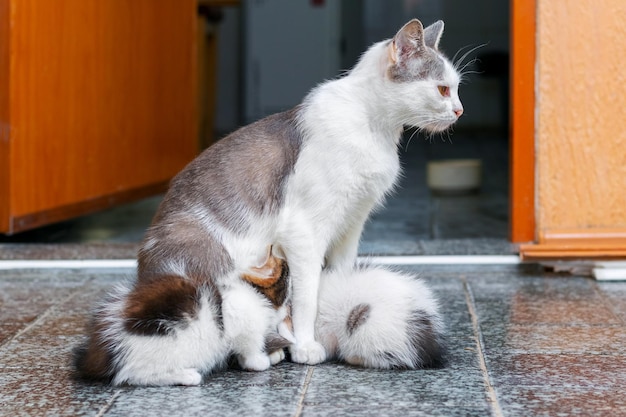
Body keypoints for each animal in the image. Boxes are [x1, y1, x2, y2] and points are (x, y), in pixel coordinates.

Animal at [74, 17, 458, 384]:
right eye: (442, 88)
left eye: (456, 88)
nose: (459, 110)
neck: (373, 129)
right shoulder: (304, 231)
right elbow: (306, 296)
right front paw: (305, 345)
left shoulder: (353, 223)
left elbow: (339, 275)